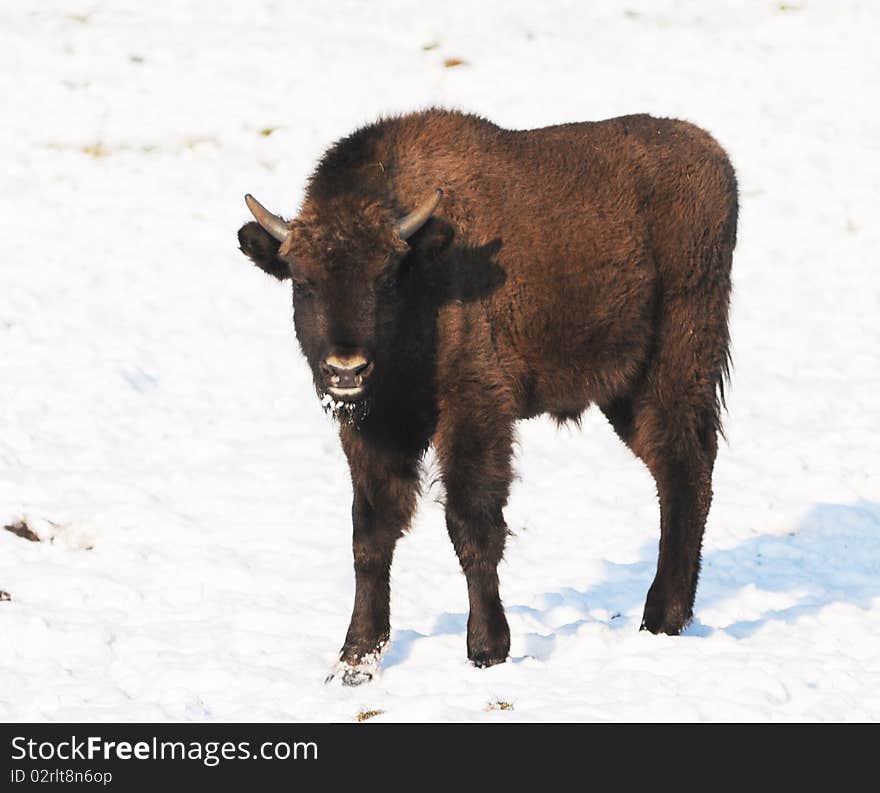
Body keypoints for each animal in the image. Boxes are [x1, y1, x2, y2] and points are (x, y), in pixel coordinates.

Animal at [235, 108, 736, 684]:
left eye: (387, 278)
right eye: (302, 279)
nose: (346, 369)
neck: (425, 270)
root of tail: (713, 155)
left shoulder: (474, 410)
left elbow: (471, 524)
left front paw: (487, 648)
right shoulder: (372, 430)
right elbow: (371, 533)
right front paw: (355, 658)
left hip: (677, 362)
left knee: (685, 472)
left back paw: (660, 618)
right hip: (627, 392)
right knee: (674, 470)